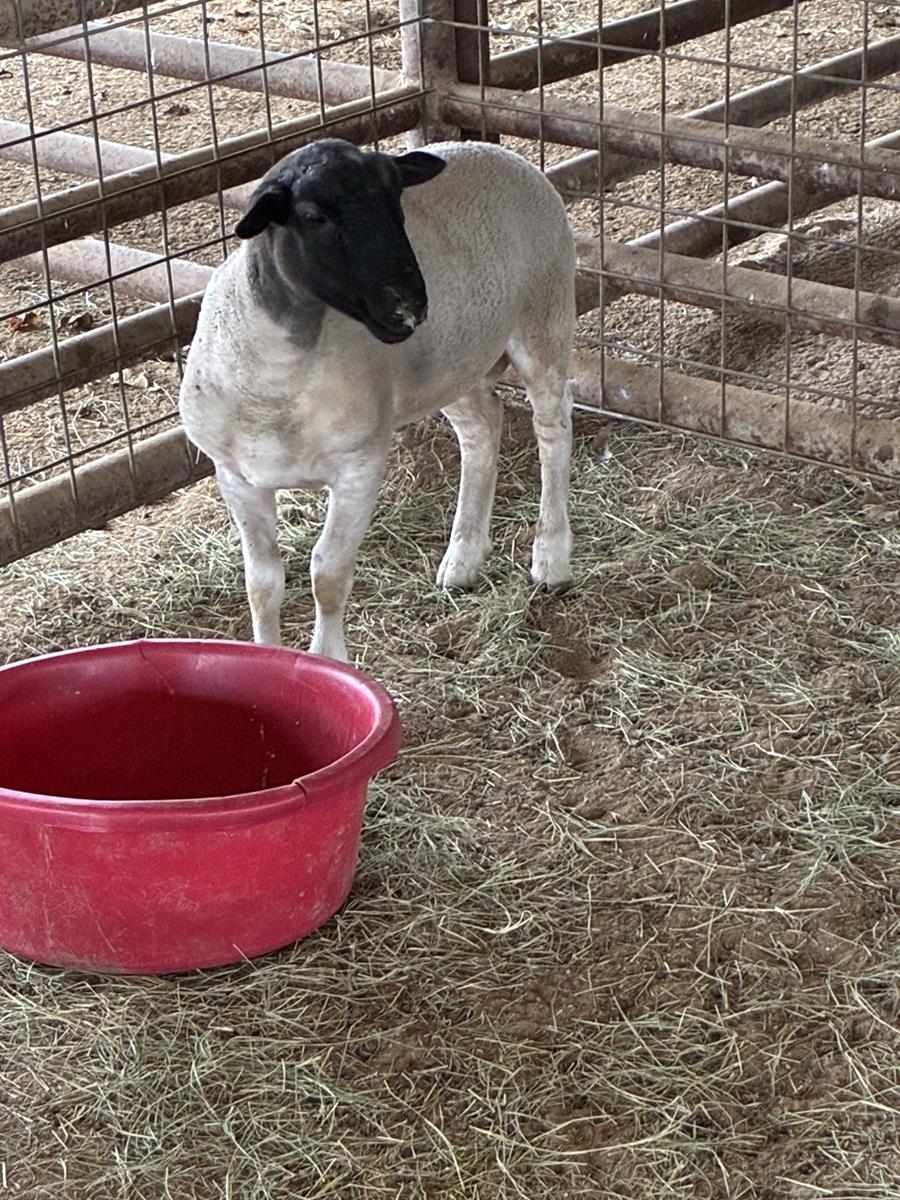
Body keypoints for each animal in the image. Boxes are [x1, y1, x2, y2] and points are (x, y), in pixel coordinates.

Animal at [179, 137, 576, 662]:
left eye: (396, 204)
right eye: (313, 216)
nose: (409, 305)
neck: (280, 380)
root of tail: (495, 148)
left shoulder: (358, 468)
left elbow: (327, 574)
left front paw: (328, 662)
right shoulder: (238, 478)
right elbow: (262, 584)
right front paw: (269, 658)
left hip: (544, 315)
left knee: (552, 429)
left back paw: (551, 557)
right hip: (449, 365)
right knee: (483, 427)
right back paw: (464, 558)